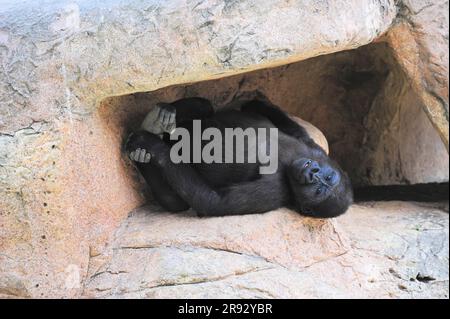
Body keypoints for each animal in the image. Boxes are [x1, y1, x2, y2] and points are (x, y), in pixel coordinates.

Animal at [125, 96, 354, 219]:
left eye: (318, 191)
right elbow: (257, 107)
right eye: (326, 177)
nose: (311, 173)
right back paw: (160, 118)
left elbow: (214, 201)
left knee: (175, 202)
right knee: (204, 106)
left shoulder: (277, 193)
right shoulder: (312, 148)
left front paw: (152, 146)